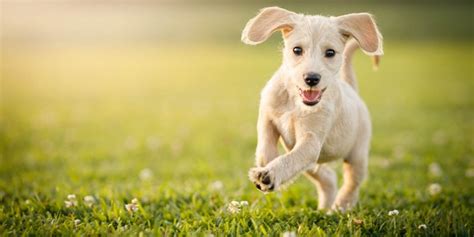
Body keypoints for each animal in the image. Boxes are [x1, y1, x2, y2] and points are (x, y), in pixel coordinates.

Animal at [243, 6, 384, 211]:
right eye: (297, 50)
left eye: (330, 52)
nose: (311, 78)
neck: (295, 102)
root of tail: (351, 89)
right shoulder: (267, 118)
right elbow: (264, 149)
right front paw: (266, 166)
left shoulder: (311, 140)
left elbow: (290, 159)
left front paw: (270, 174)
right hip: (314, 164)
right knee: (328, 177)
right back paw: (325, 208)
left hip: (357, 155)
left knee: (351, 183)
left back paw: (340, 207)